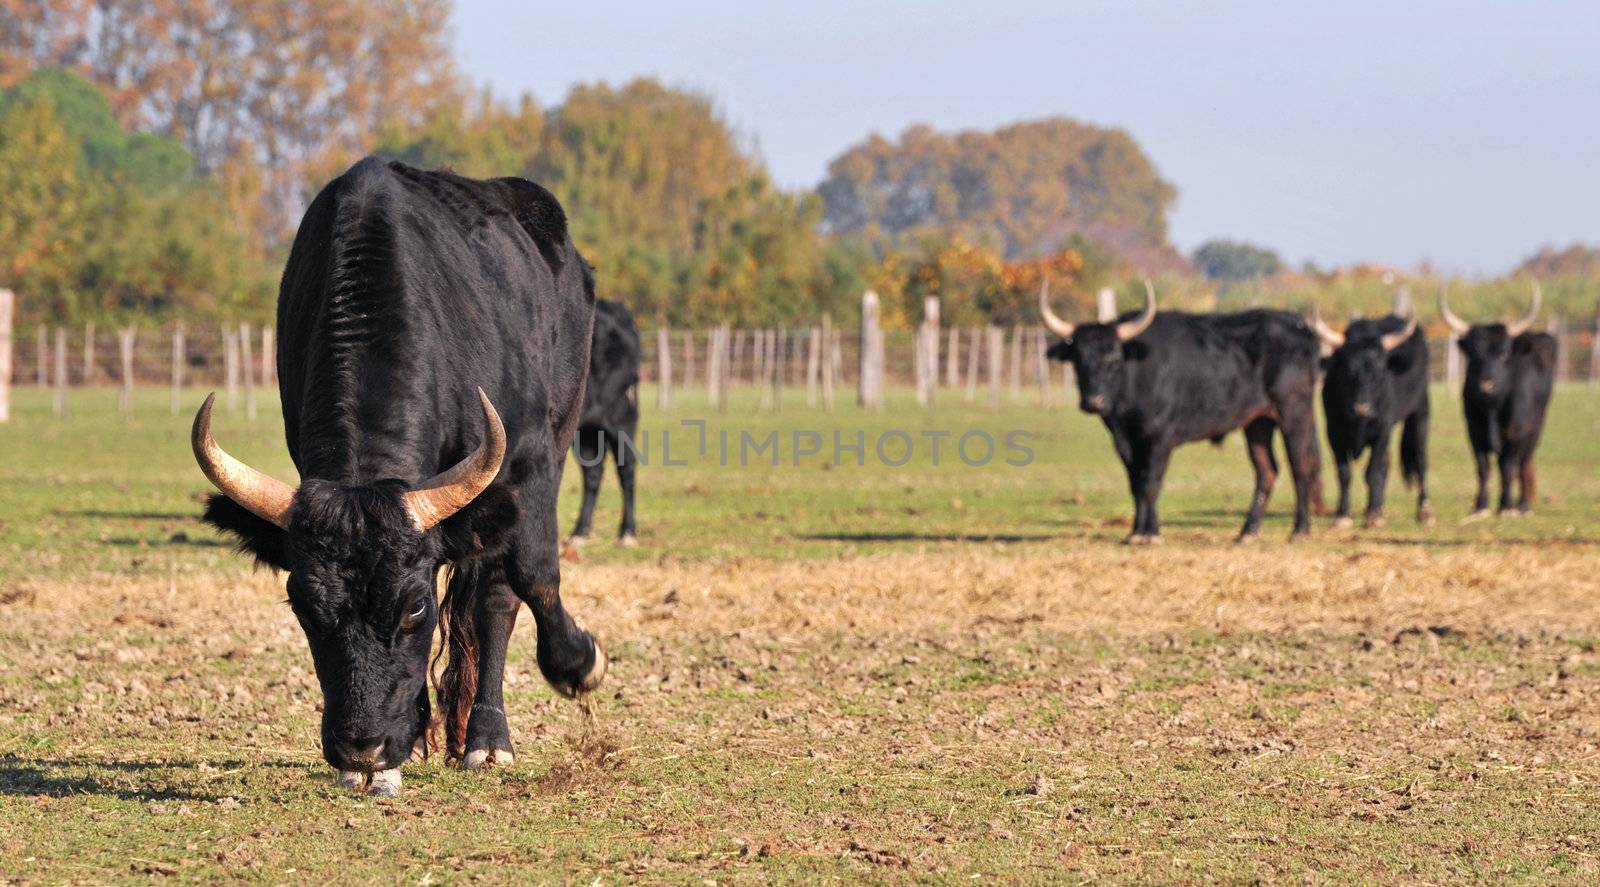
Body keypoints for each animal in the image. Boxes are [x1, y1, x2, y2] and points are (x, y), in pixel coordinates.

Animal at [193, 156, 604, 794]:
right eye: (302, 604)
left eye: (414, 607)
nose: (362, 747)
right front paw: (396, 754)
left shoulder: (530, 459)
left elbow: (533, 574)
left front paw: (579, 664)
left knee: (496, 594)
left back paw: (486, 738)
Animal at [563, 299, 636, 544]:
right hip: (586, 430)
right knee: (593, 473)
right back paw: (580, 531)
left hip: (621, 418)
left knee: (626, 469)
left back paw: (627, 532)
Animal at [1036, 280, 1324, 537]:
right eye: (1077, 359)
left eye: (1114, 357)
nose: (1093, 401)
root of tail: (1300, 327)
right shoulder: (1124, 442)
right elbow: (1135, 483)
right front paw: (1136, 530)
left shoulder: (1160, 437)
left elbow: (1151, 482)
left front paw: (1149, 533)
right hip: (1257, 422)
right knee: (1266, 471)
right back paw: (1247, 532)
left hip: (1294, 412)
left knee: (1300, 466)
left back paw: (1300, 529)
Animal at [1312, 296, 1440, 528]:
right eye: (1346, 370)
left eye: (1380, 370)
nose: (1363, 408)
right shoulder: (1333, 433)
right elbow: (1344, 472)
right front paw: (1343, 515)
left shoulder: (1381, 430)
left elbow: (1372, 471)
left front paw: (1372, 515)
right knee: (1387, 464)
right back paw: (1382, 508)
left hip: (1420, 413)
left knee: (1420, 459)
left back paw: (1424, 511)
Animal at [1440, 283, 1548, 518]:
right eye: (1472, 354)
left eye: (1504, 352)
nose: (1486, 385)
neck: (1493, 409)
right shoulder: (1474, 432)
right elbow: (1483, 468)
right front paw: (1481, 506)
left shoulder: (1515, 432)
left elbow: (1507, 467)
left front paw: (1507, 506)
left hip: (1534, 431)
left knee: (1523, 465)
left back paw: (1523, 505)